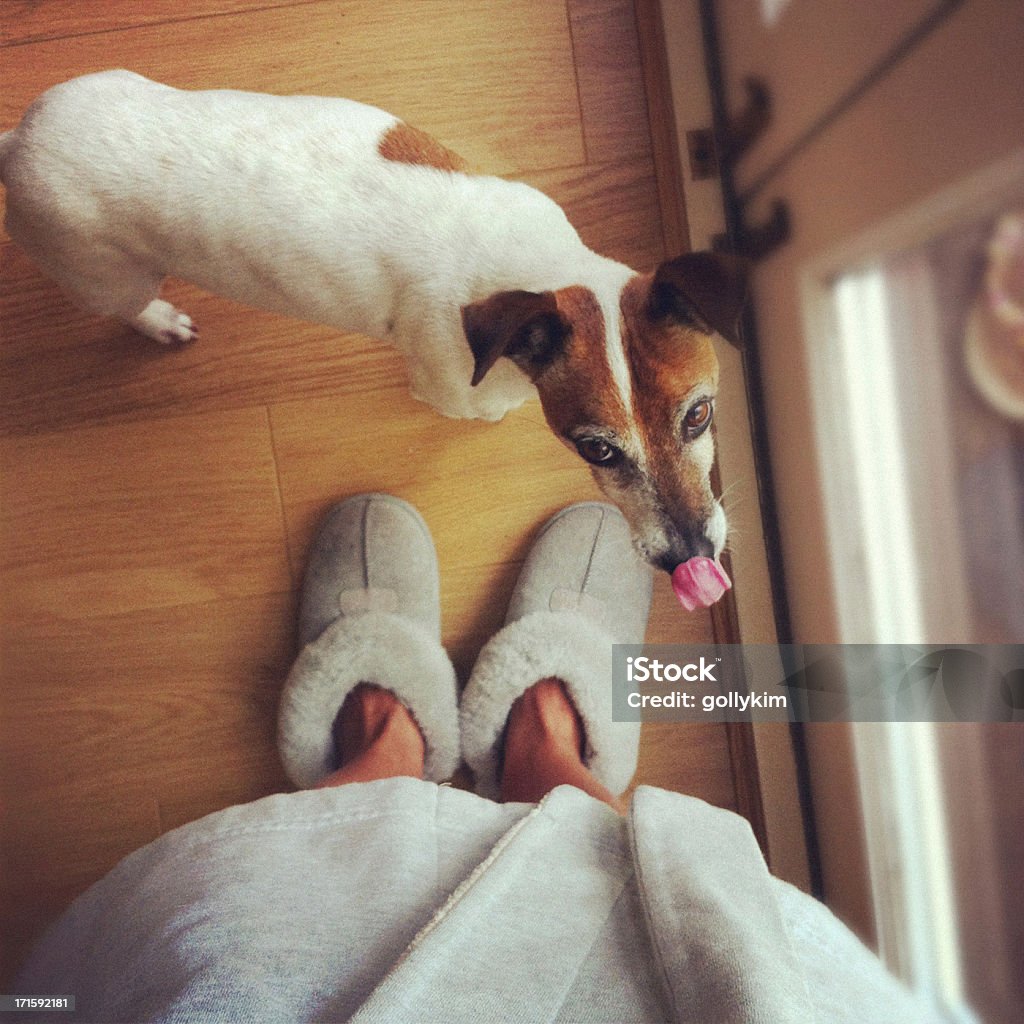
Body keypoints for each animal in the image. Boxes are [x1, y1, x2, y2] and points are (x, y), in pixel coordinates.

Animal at [4, 70, 749, 585]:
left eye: (699, 415)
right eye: (595, 449)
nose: (690, 557)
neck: (537, 273)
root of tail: (18, 141)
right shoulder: (451, 386)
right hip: (104, 272)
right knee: (127, 303)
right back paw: (160, 321)